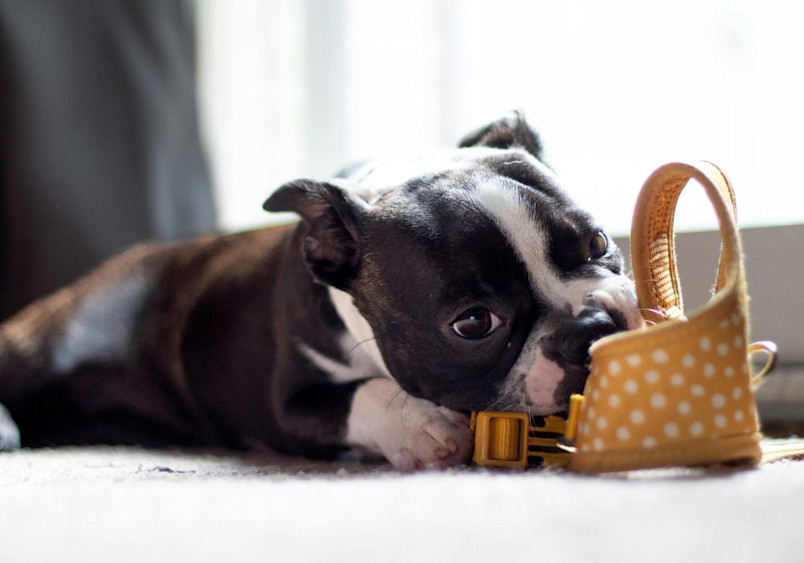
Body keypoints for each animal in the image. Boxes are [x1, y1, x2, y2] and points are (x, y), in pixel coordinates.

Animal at [0, 112, 640, 470]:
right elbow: (361, 396)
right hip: (45, 347)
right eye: (474, 323)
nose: (590, 330)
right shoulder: (285, 405)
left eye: (598, 241)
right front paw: (420, 426)